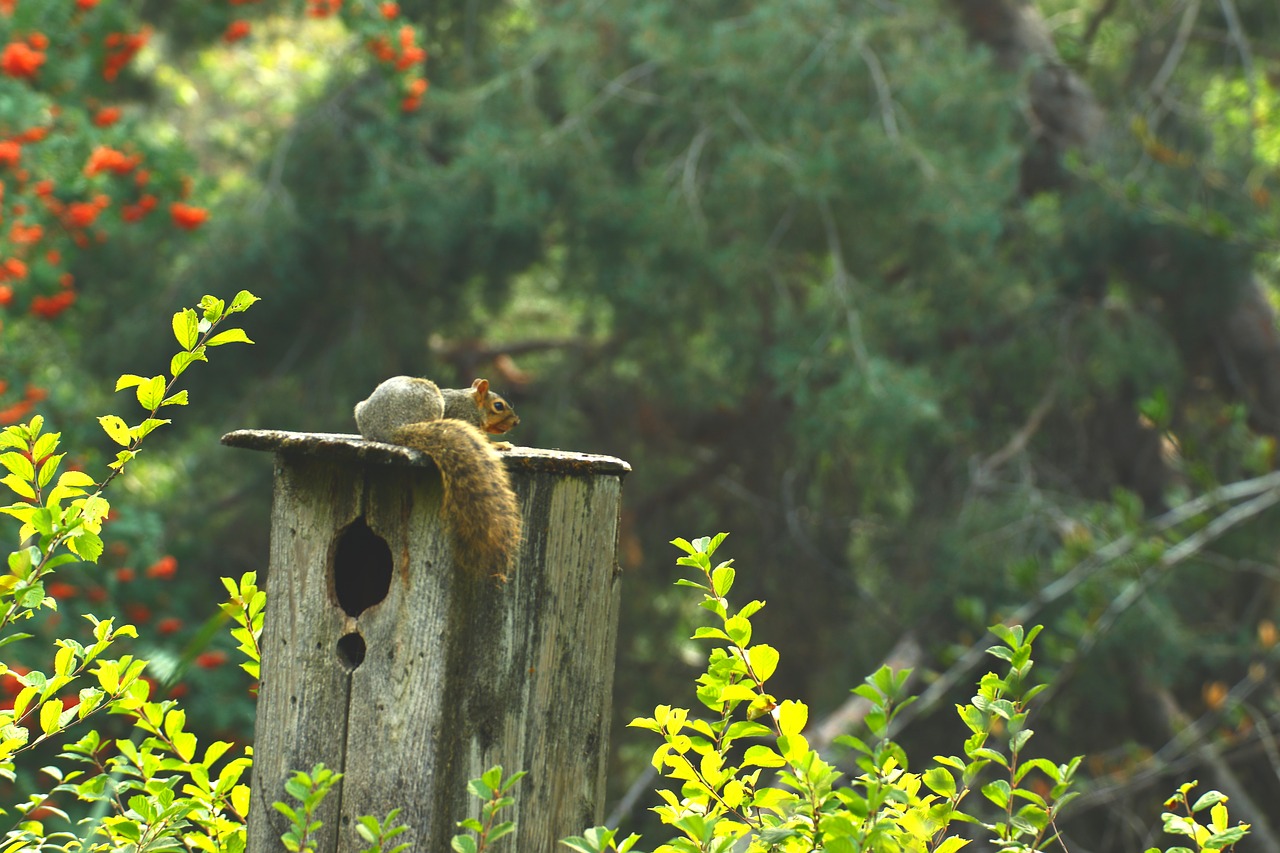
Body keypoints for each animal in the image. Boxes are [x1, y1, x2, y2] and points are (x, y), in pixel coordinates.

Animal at [355, 376, 519, 578]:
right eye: (498, 406)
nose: (516, 421)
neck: (471, 401)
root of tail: (391, 429)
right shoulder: (465, 417)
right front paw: (500, 445)